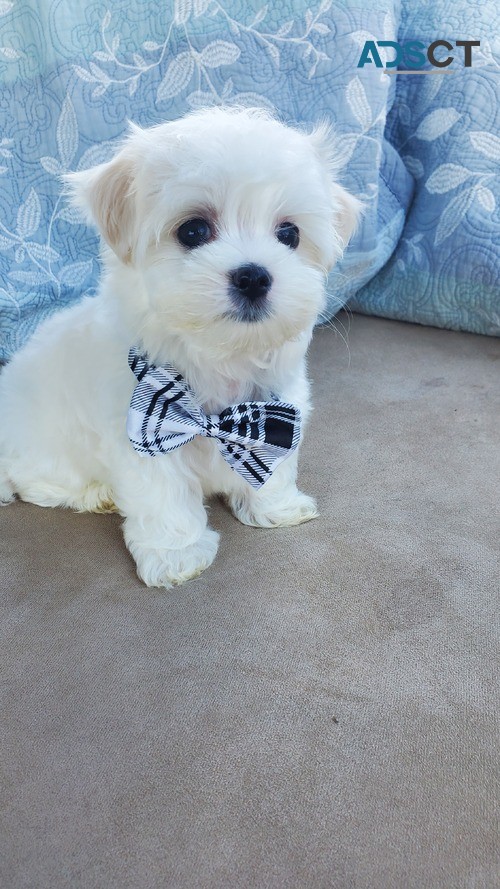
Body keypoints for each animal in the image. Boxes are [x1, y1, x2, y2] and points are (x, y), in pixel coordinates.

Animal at [0, 107, 360, 588]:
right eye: (193, 230)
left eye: (289, 234)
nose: (254, 276)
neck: (215, 356)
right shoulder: (139, 430)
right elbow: (162, 493)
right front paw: (176, 556)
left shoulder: (280, 407)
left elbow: (274, 464)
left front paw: (277, 508)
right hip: (44, 447)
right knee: (40, 483)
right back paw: (97, 495)